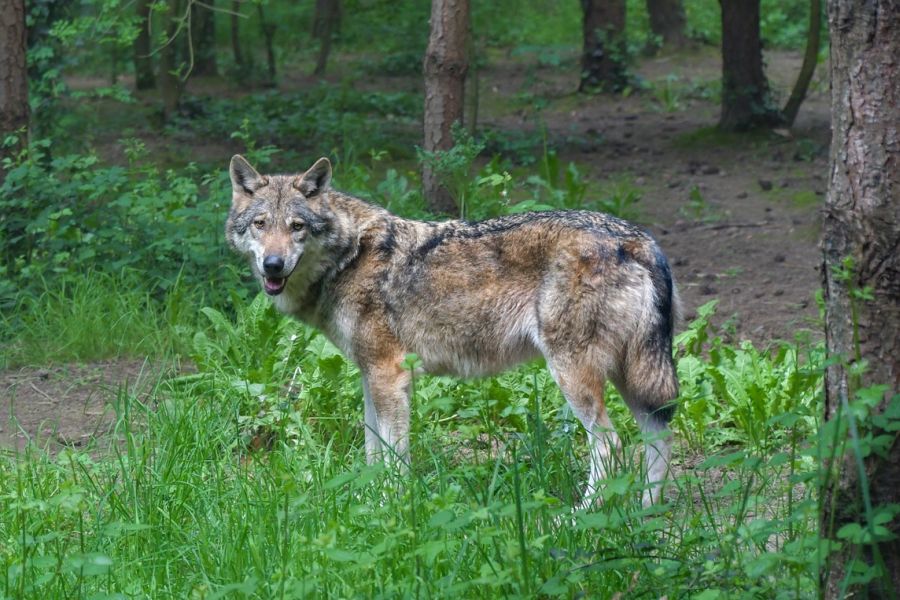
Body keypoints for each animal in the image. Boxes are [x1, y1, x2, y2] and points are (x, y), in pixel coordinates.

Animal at [227, 155, 684, 506]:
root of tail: (638, 239)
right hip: (634, 377)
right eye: (260, 224)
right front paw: (364, 504)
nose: (273, 265)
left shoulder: (390, 375)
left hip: (575, 375)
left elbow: (394, 457)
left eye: (297, 227)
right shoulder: (370, 376)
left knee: (611, 446)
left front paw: (389, 507)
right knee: (659, 436)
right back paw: (645, 511)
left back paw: (578, 518)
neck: (349, 256)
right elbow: (373, 452)